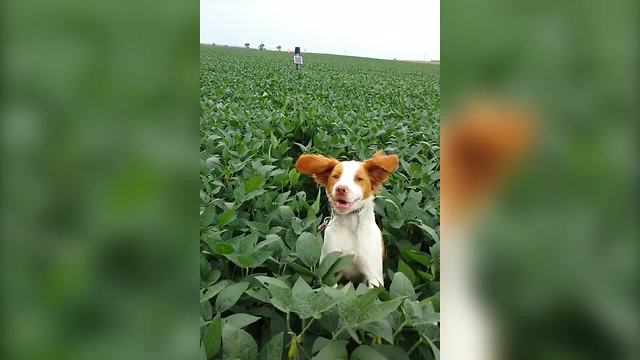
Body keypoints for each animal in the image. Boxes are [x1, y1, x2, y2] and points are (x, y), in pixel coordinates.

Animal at [296, 150, 400, 288]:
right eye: (335, 176)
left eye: (359, 179)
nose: (341, 189)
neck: (350, 225)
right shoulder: (329, 273)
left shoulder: (374, 277)